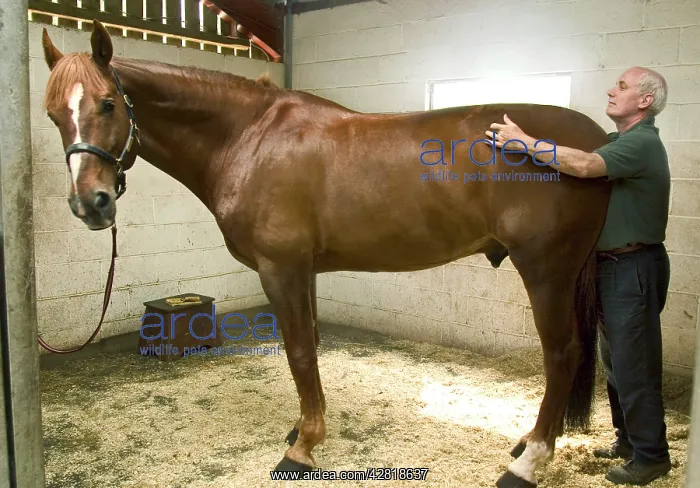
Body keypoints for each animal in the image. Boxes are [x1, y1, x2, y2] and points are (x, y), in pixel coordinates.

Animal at [40, 20, 612, 487]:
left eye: (108, 104)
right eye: (53, 114)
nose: (90, 203)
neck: (248, 139)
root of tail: (596, 143)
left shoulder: (282, 268)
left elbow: (298, 352)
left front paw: (301, 449)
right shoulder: (305, 270)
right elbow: (310, 346)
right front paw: (303, 428)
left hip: (545, 270)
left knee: (562, 354)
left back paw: (528, 462)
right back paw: (529, 443)